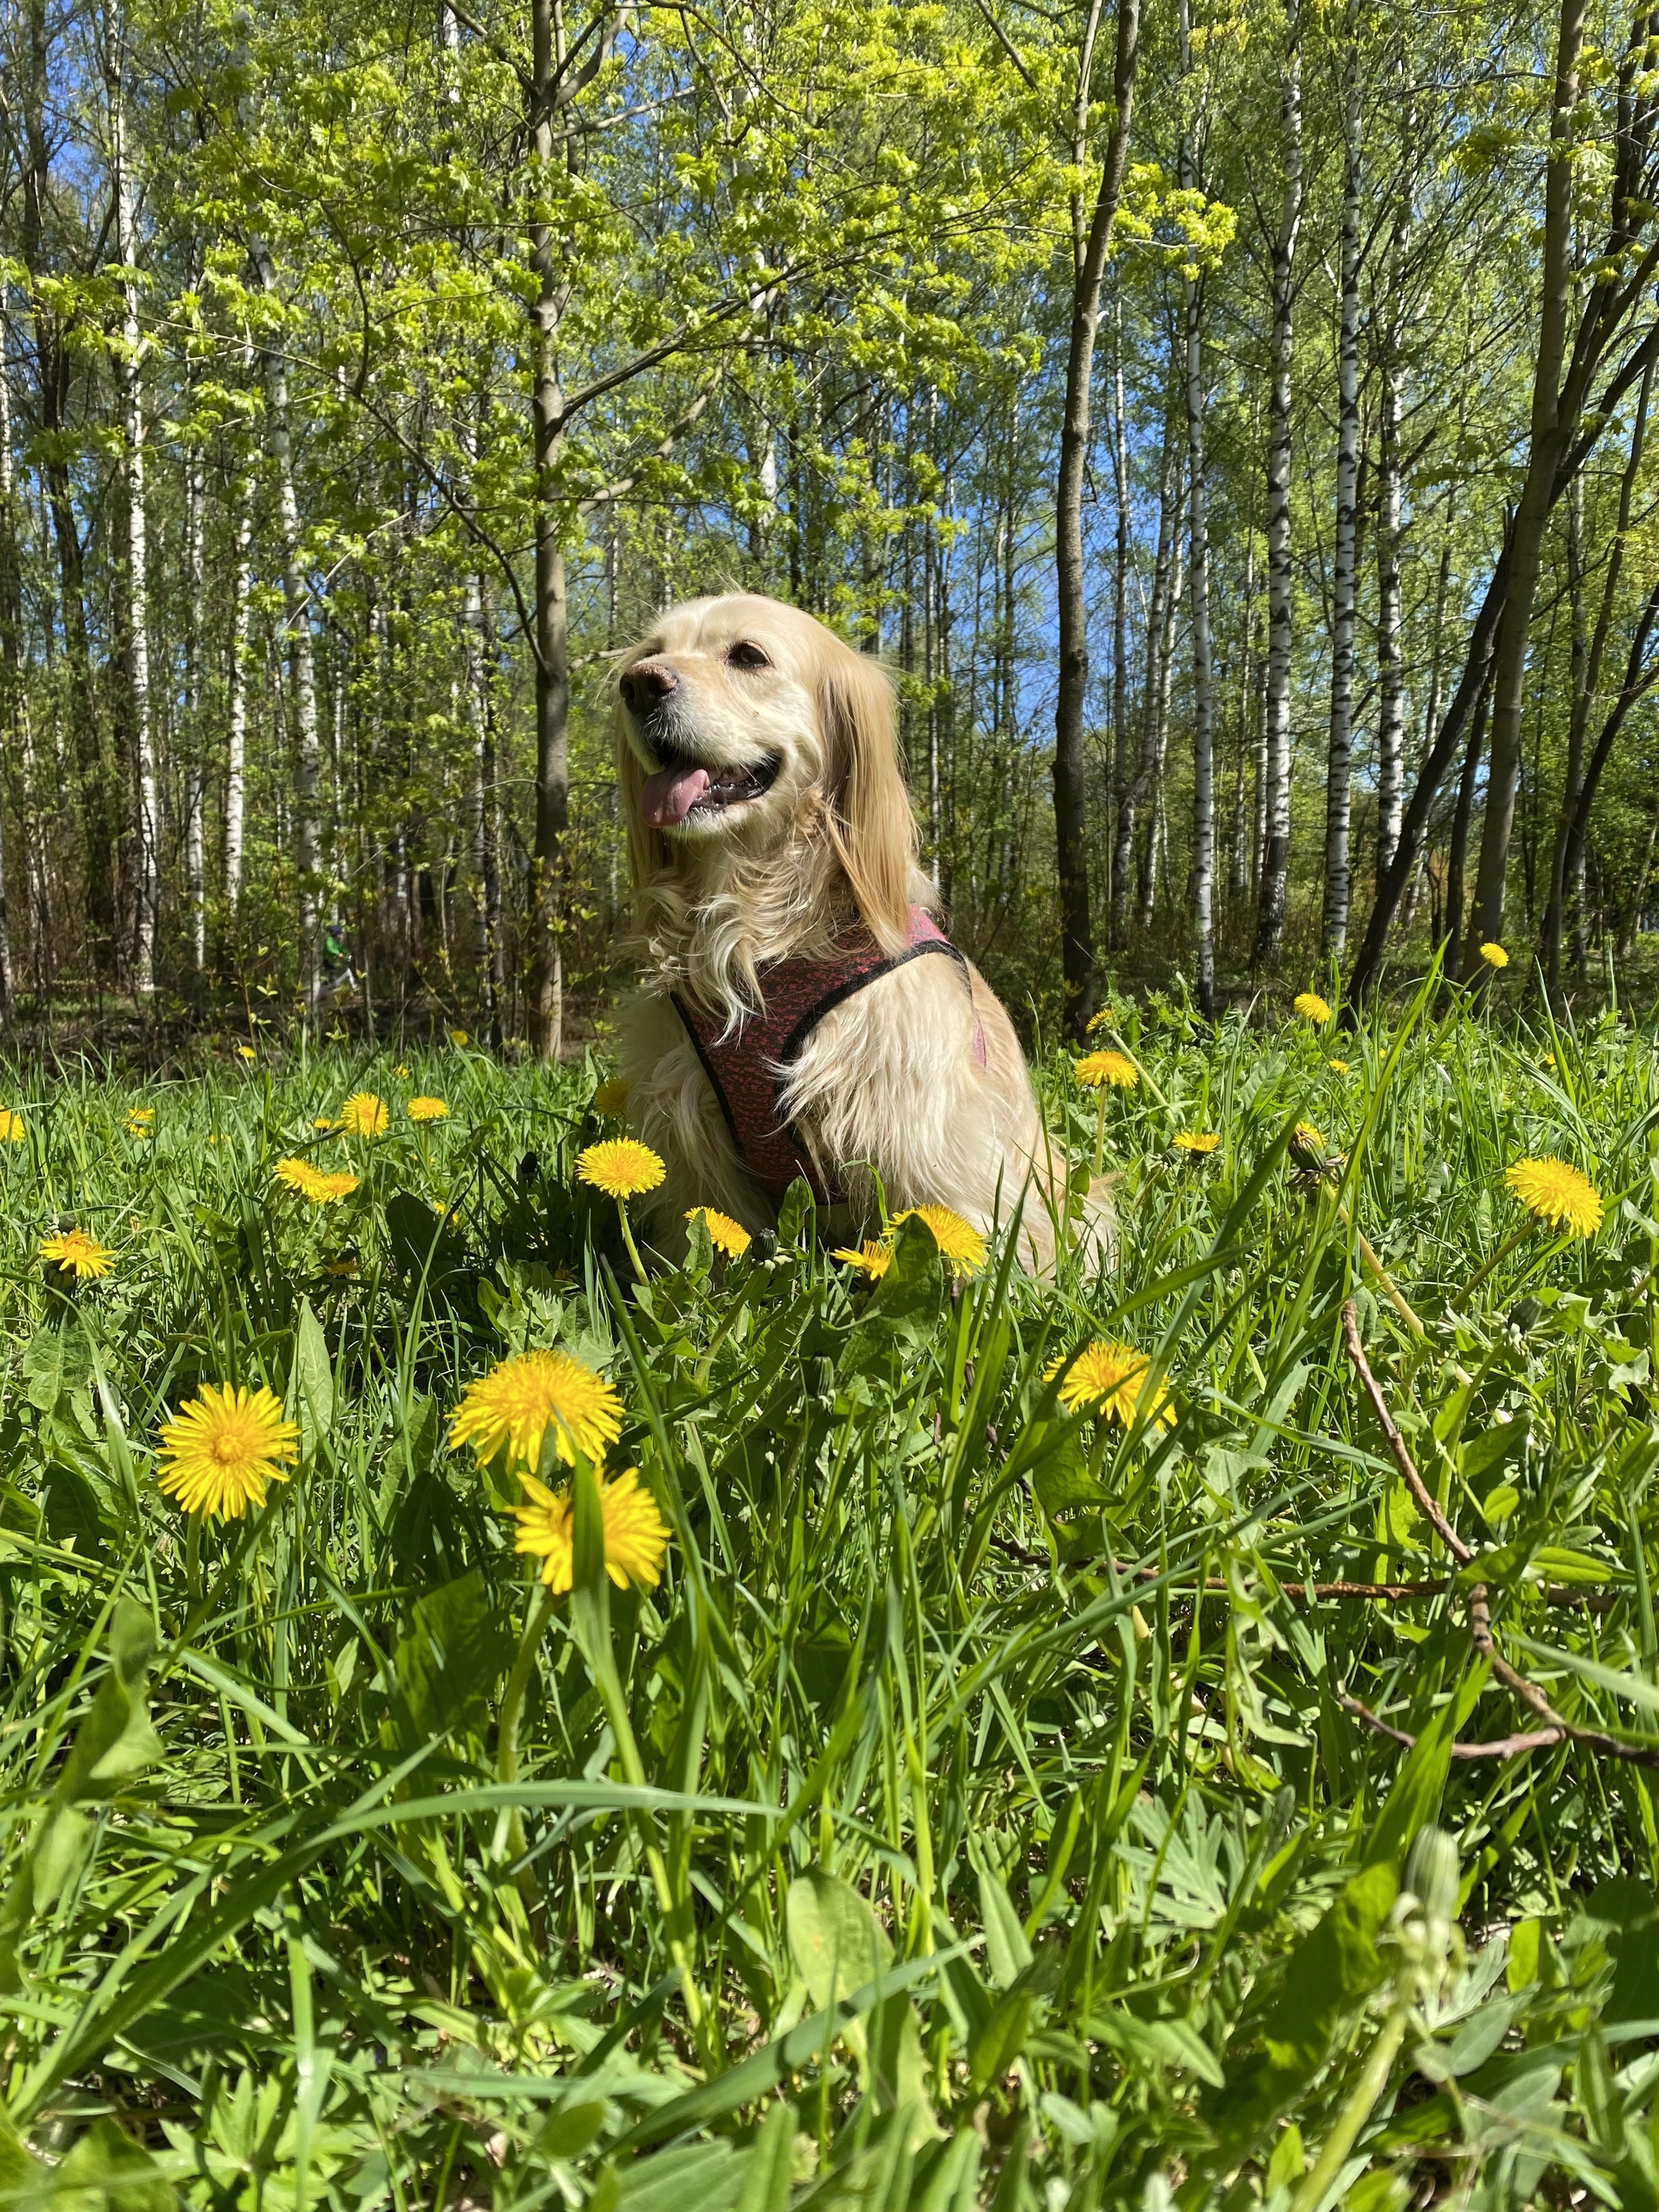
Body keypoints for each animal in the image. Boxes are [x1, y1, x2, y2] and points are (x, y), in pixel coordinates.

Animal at [610, 597, 1106, 1274]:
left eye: (747, 655)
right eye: (649, 653)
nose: (639, 685)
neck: (760, 930)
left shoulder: (914, 1125)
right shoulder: (690, 1127)